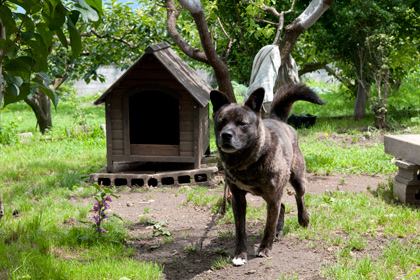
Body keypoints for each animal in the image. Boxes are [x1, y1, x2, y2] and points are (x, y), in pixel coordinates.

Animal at [210, 82, 324, 264]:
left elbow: (268, 227)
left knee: (299, 197)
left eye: (242, 123)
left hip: (297, 180)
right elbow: (240, 231)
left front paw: (264, 249)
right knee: (282, 207)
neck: (248, 162)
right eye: (221, 122)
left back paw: (303, 219)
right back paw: (279, 230)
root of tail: (278, 120)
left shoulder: (272, 197)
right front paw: (240, 254)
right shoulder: (238, 199)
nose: (226, 135)